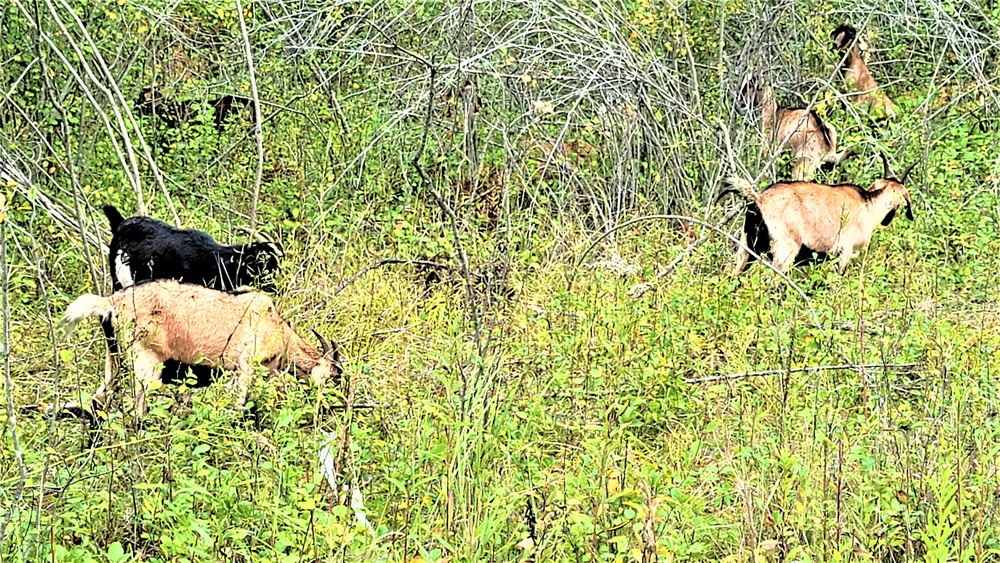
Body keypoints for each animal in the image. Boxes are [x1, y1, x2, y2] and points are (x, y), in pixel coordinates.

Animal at [63, 280, 344, 426]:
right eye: (333, 376)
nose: (331, 408)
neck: (277, 327)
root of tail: (111, 303)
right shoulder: (245, 366)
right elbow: (238, 405)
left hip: (114, 357)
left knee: (99, 399)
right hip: (145, 359)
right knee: (137, 410)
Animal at [728, 154, 916, 278]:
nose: (887, 220)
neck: (868, 203)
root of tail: (758, 199)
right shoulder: (845, 251)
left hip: (746, 248)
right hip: (784, 251)